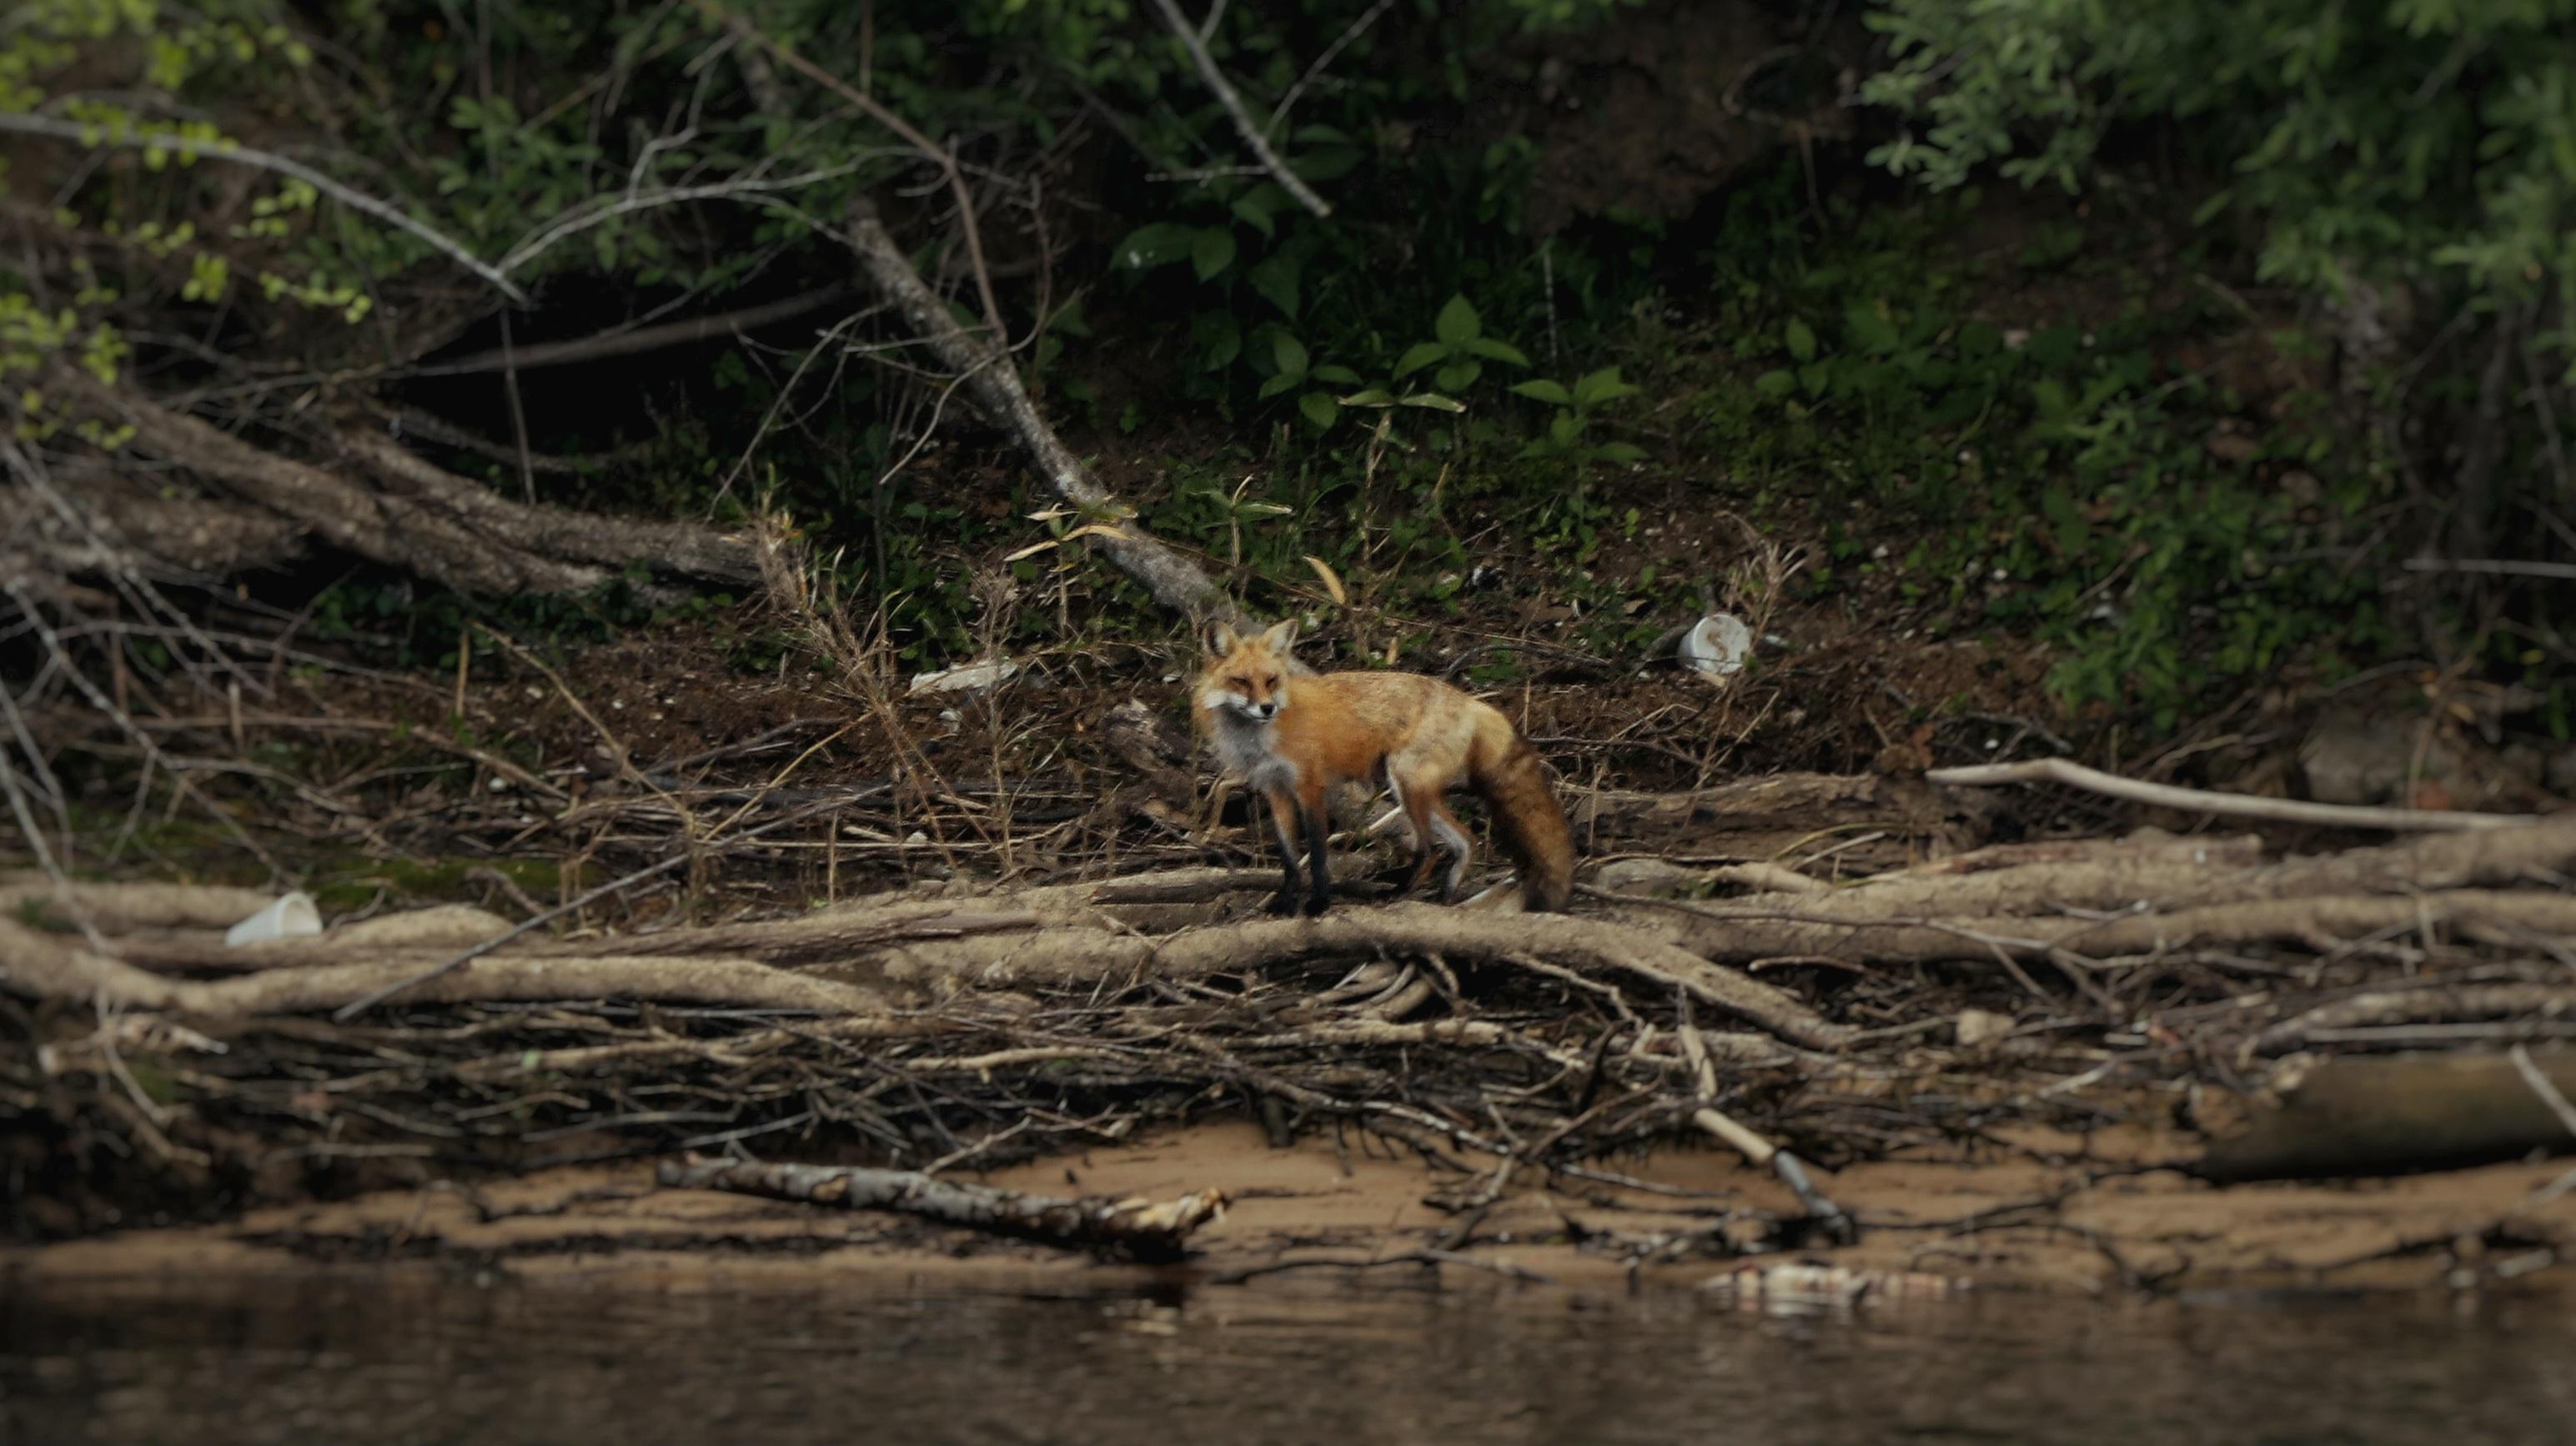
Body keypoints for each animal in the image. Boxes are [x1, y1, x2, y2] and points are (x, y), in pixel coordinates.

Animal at [1193, 617, 1574, 915]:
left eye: (1271, 681)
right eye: (1241, 681)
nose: (1267, 708)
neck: (1259, 739)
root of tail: (1469, 701)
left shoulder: (1309, 786)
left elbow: (1317, 854)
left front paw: (1319, 903)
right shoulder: (1276, 790)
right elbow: (1289, 857)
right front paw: (1287, 902)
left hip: (1406, 783)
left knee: (1429, 847)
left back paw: (1401, 892)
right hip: (1414, 790)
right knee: (1465, 840)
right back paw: (1446, 897)